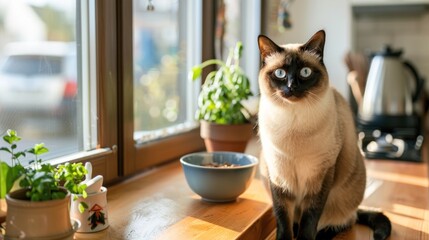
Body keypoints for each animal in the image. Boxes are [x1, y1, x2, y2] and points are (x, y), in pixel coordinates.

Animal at [256, 30, 390, 240]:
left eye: (305, 72)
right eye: (280, 73)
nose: (291, 87)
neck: (293, 121)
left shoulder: (321, 175)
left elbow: (310, 218)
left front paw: (304, 239)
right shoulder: (278, 176)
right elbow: (283, 219)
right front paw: (286, 238)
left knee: (344, 222)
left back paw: (322, 235)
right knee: (297, 221)